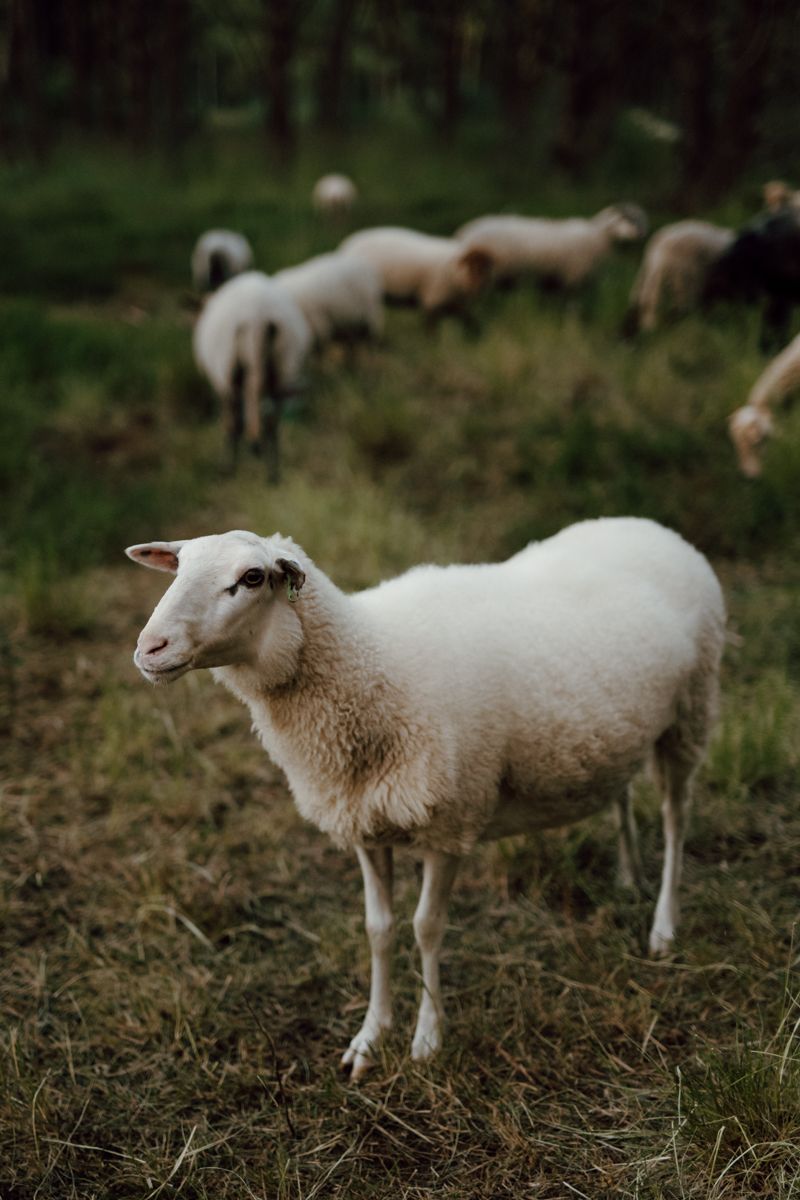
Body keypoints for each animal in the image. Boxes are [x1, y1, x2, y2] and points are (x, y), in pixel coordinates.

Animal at [126, 516, 724, 1080]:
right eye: (178, 567)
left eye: (251, 578)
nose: (149, 649)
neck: (368, 663)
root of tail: (647, 526)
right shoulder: (363, 821)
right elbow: (379, 930)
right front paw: (370, 1037)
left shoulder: (450, 823)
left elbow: (426, 928)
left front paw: (427, 1038)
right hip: (623, 730)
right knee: (622, 793)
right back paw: (628, 875)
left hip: (691, 712)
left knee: (676, 819)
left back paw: (663, 925)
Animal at [191, 270, 311, 480]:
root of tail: (258, 314)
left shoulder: (224, 384)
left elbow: (233, 422)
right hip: (283, 367)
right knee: (273, 422)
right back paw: (272, 472)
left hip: (229, 365)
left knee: (236, 419)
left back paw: (231, 466)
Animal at [338, 225, 494, 324]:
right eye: (470, 268)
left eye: (486, 270)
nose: (477, 288)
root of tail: (346, 246)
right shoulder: (432, 301)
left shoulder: (455, 305)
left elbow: (472, 325)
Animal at [453, 204, 647, 290]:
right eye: (624, 219)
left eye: (638, 220)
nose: (639, 233)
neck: (598, 235)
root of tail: (464, 232)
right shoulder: (573, 277)